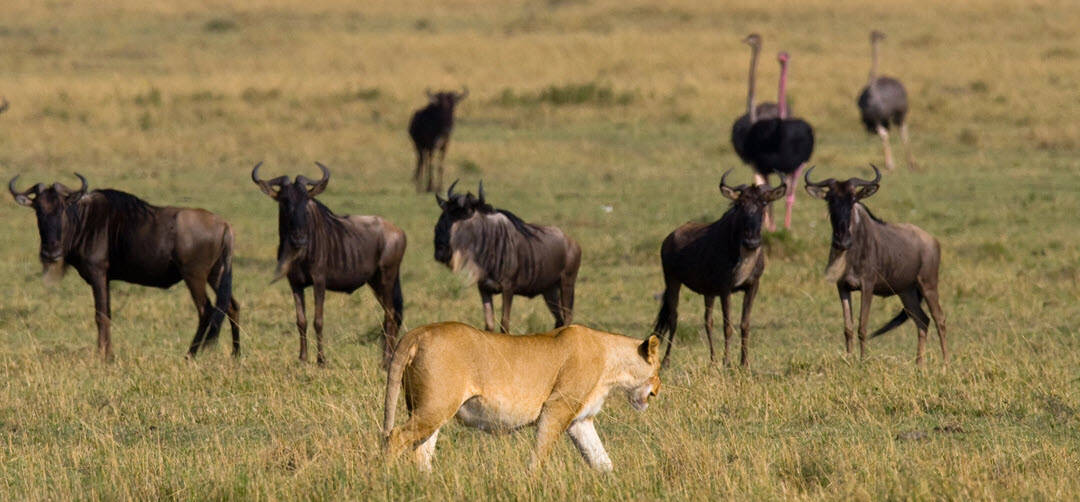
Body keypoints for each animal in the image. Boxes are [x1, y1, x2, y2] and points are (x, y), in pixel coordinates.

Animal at [382, 322, 662, 472]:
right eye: (658, 369)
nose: (657, 391)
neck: (612, 364)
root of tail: (418, 331)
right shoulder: (556, 408)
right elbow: (540, 455)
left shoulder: (580, 421)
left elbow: (602, 460)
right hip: (436, 407)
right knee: (395, 437)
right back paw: (387, 477)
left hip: (429, 410)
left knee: (421, 452)